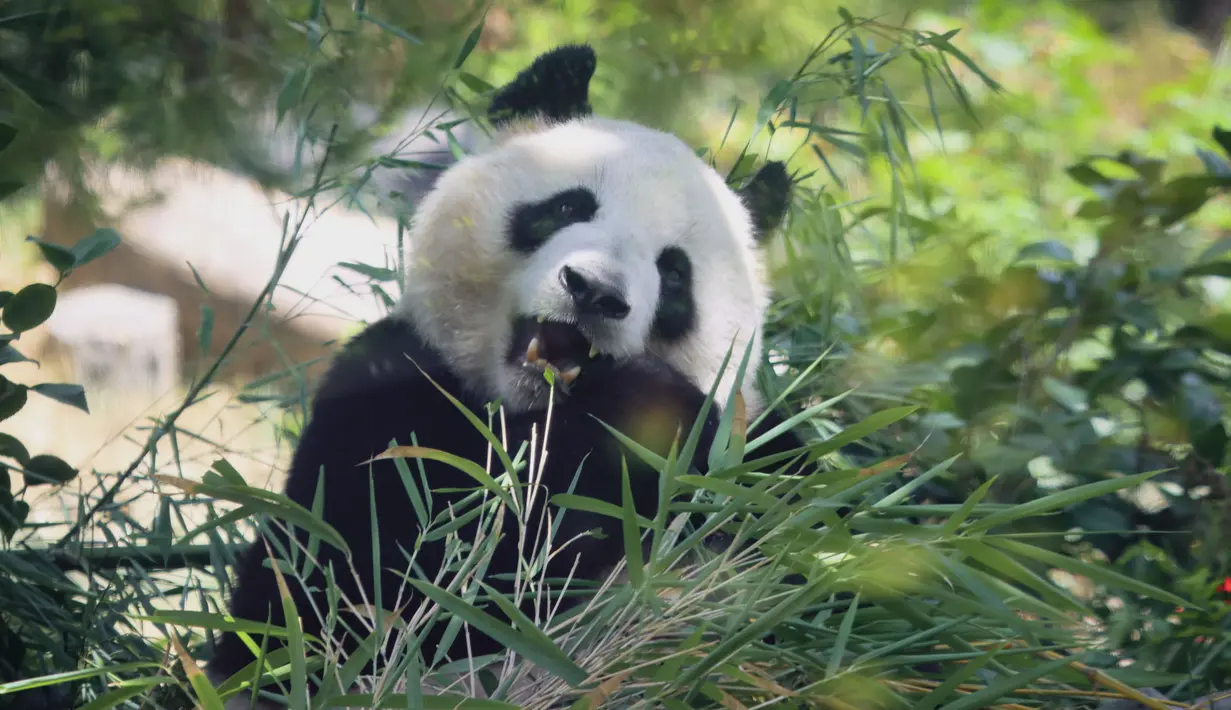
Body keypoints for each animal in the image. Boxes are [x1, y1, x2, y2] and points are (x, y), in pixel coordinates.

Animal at [207, 43, 808, 707]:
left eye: (675, 273)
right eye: (568, 207)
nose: (594, 292)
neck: (532, 416)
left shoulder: (766, 461)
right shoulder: (381, 409)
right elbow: (349, 595)